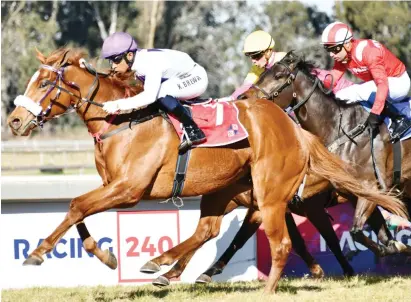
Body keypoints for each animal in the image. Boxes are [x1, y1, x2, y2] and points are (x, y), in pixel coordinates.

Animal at [7, 49, 408, 292]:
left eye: (45, 83)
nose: (14, 121)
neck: (123, 123)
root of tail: (293, 127)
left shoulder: (129, 188)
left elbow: (76, 205)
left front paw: (38, 252)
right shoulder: (112, 185)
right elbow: (79, 212)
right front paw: (106, 256)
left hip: (264, 190)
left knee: (275, 239)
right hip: (225, 187)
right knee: (208, 230)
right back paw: (164, 265)